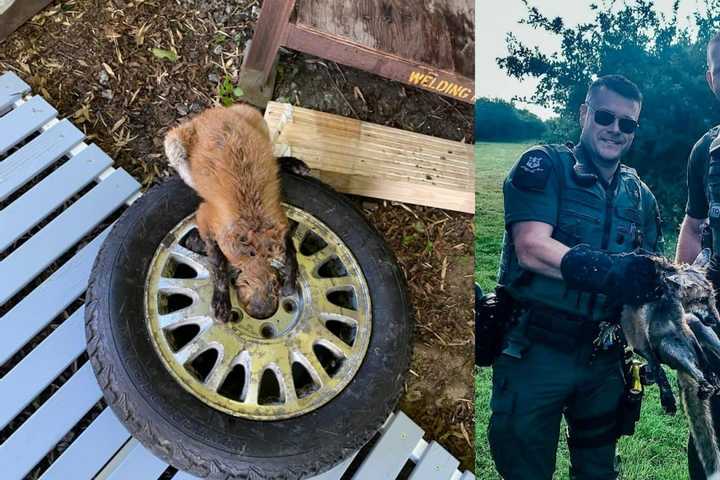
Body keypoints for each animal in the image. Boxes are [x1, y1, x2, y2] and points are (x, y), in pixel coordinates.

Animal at [163, 105, 304, 322]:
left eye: (275, 287)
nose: (263, 314)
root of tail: (210, 112)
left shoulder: (280, 222)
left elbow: (291, 255)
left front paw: (290, 281)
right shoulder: (205, 217)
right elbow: (218, 267)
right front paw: (221, 302)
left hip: (255, 118)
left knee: (271, 152)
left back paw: (289, 163)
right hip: (174, 144)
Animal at [620, 249, 720, 478]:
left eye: (712, 298)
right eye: (702, 299)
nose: (717, 319)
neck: (664, 306)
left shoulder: (684, 326)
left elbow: (701, 355)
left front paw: (710, 372)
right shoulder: (640, 337)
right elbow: (657, 368)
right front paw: (667, 397)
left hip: (698, 328)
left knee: (702, 360)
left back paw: (709, 381)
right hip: (670, 347)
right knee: (691, 372)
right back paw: (704, 386)